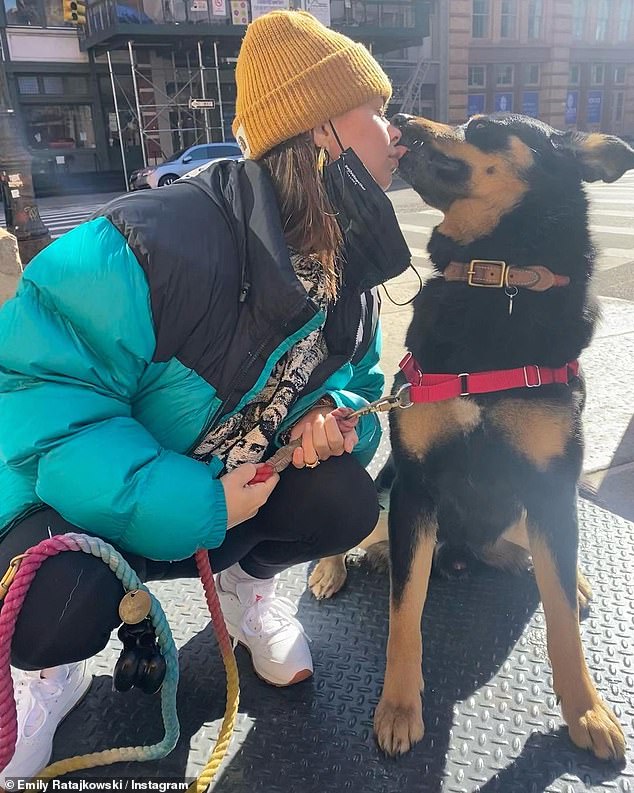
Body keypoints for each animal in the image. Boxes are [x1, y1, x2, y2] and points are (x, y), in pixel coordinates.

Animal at [308, 113, 628, 760]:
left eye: (482, 125)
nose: (401, 119)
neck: (496, 279)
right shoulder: (415, 490)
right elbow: (405, 615)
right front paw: (399, 708)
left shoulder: (551, 488)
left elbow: (560, 619)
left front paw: (587, 711)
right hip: (383, 500)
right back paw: (334, 568)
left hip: (522, 510)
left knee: (536, 553)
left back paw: (554, 571)